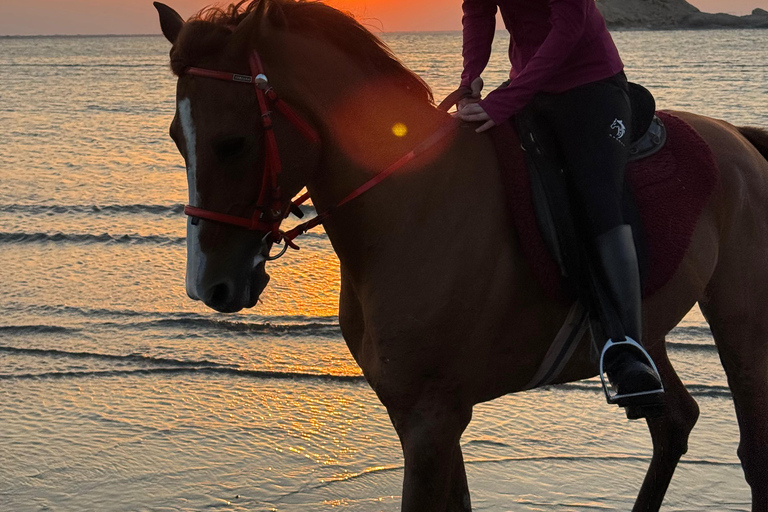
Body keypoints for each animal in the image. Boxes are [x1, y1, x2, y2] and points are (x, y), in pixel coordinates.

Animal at [153, 2, 768, 510]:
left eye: (232, 143)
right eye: (178, 139)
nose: (209, 285)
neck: (413, 205)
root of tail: (735, 136)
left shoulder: (432, 420)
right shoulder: (419, 419)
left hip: (740, 319)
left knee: (751, 452)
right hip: (647, 327)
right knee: (673, 421)